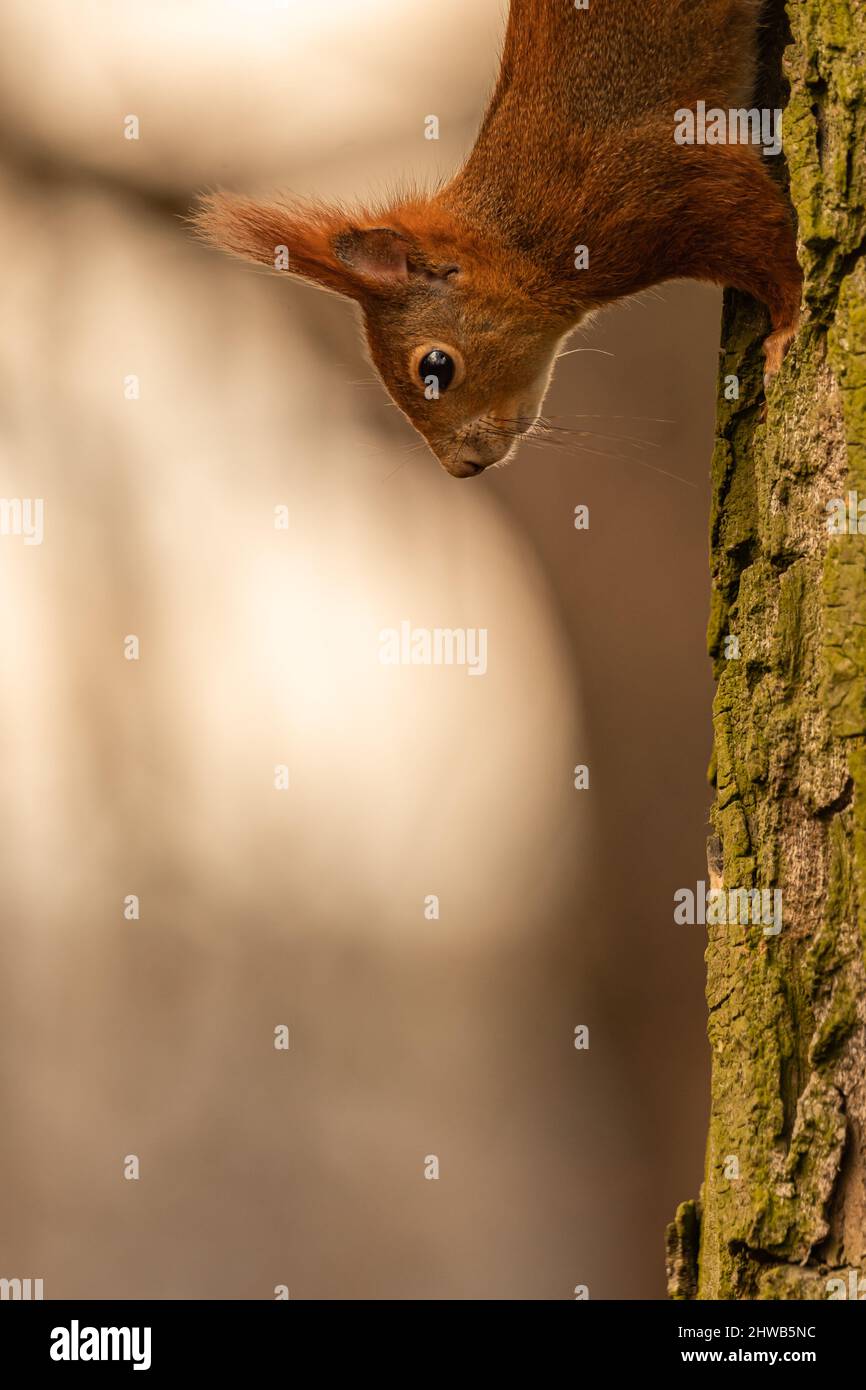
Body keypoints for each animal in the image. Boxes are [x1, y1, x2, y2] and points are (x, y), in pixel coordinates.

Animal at [193, 1, 800, 478]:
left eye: (436, 368)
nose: (460, 469)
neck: (518, 238)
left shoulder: (669, 180)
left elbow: (769, 241)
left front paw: (788, 329)